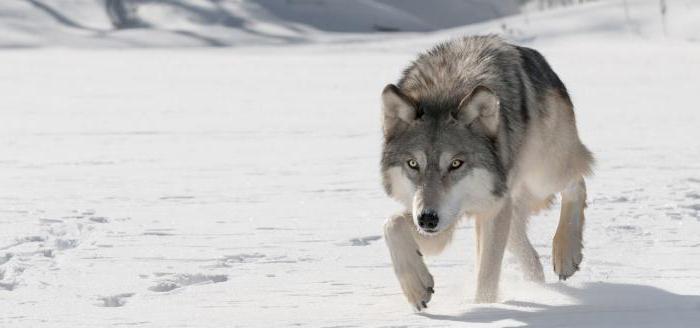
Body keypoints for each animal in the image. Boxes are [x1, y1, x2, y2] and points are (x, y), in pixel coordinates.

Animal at [380, 36, 592, 310]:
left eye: (456, 163)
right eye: (413, 164)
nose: (427, 219)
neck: (444, 91)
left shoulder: (489, 209)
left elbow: (487, 275)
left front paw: (484, 308)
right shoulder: (440, 223)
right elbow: (391, 224)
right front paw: (416, 287)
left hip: (543, 175)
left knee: (578, 181)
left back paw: (566, 255)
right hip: (507, 205)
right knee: (527, 250)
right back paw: (537, 284)